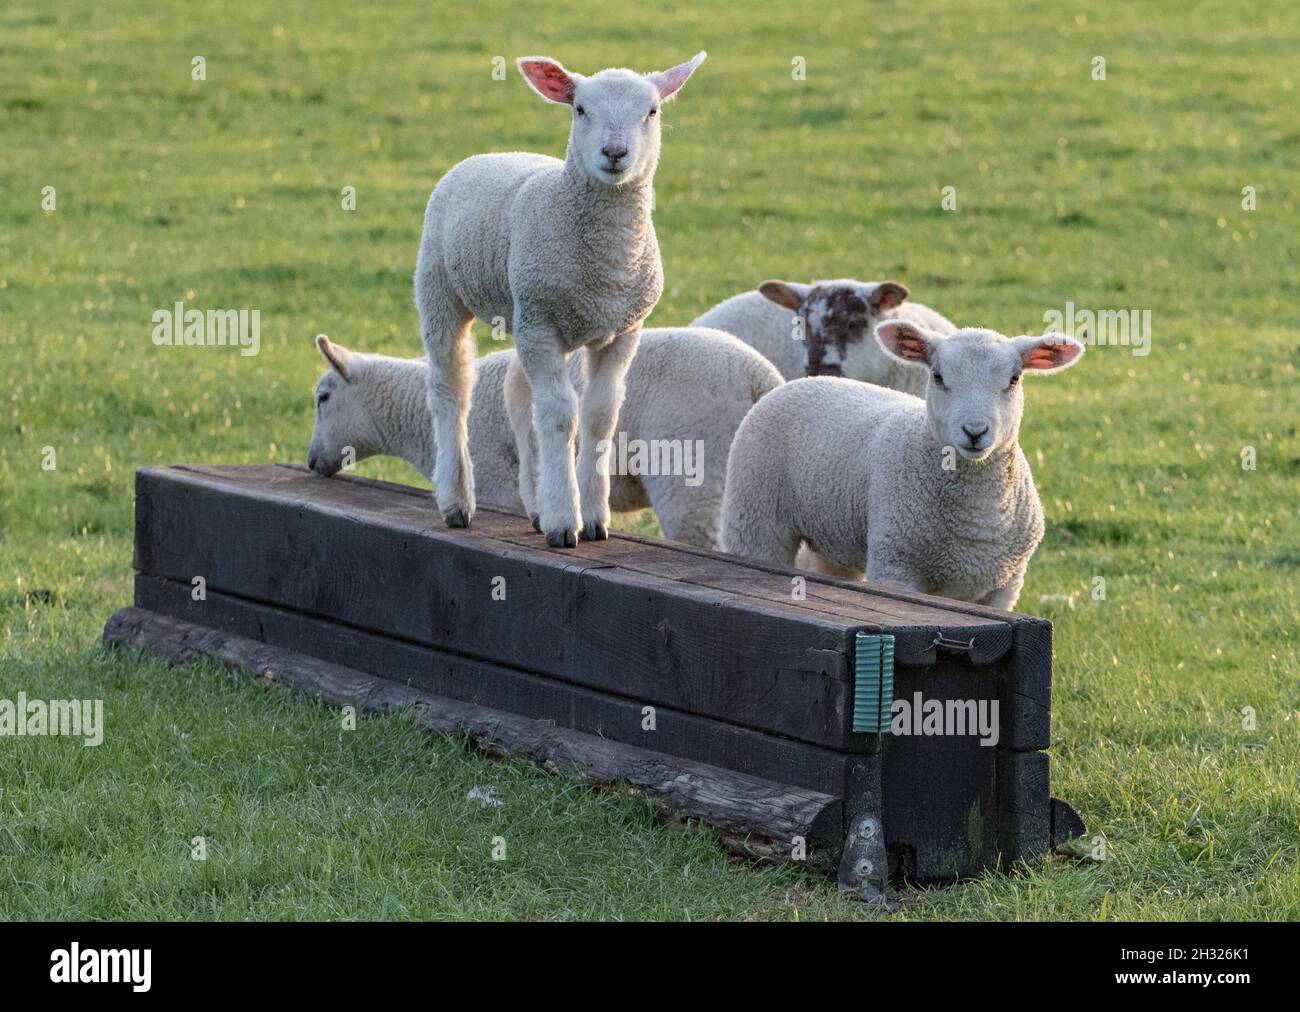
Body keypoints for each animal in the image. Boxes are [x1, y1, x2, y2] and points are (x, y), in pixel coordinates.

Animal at [305, 327, 774, 548]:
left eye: (323, 397)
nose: (310, 461)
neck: (418, 424)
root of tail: (759, 378)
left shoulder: (496, 484)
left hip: (691, 474)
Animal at [413, 50, 707, 543]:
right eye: (580, 109)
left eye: (652, 111)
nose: (615, 153)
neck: (608, 266)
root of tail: (490, 155)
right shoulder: (542, 323)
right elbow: (559, 416)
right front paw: (564, 521)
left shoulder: (621, 330)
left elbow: (599, 415)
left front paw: (594, 516)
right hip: (441, 290)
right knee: (450, 390)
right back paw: (456, 501)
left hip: (526, 314)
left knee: (517, 393)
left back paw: (533, 503)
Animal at [722, 323, 1086, 606]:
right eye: (938, 376)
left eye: (1014, 379)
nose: (975, 431)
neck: (977, 515)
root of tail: (800, 382)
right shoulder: (895, 568)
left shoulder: (1005, 586)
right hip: (754, 516)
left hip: (833, 535)